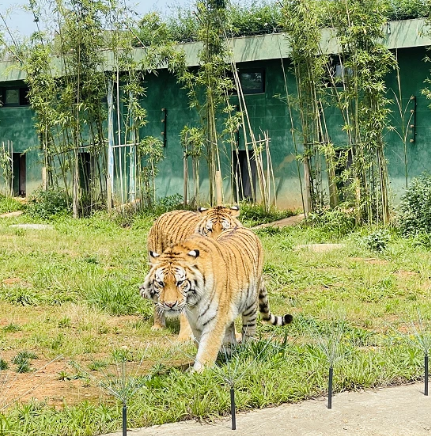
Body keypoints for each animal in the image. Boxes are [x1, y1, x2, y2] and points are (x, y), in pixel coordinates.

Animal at [141, 225, 294, 372]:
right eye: (161, 283)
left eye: (179, 282)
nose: (169, 304)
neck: (193, 303)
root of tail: (245, 229)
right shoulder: (194, 320)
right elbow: (200, 342)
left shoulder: (215, 318)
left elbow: (208, 346)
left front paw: (199, 372)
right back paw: (229, 350)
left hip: (250, 304)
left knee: (249, 329)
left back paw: (247, 349)